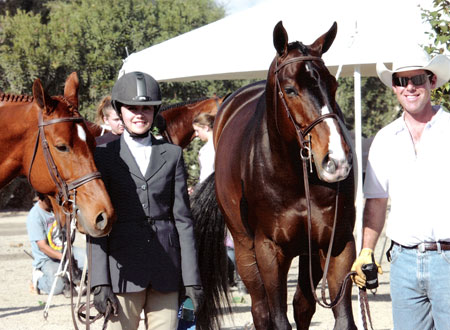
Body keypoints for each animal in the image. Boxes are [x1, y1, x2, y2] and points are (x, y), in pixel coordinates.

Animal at [195, 21, 356, 328]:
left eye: (333, 84)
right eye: (291, 90)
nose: (336, 161)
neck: (296, 179)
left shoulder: (338, 244)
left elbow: (342, 319)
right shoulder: (269, 252)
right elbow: (277, 317)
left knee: (303, 304)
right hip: (244, 249)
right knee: (261, 310)